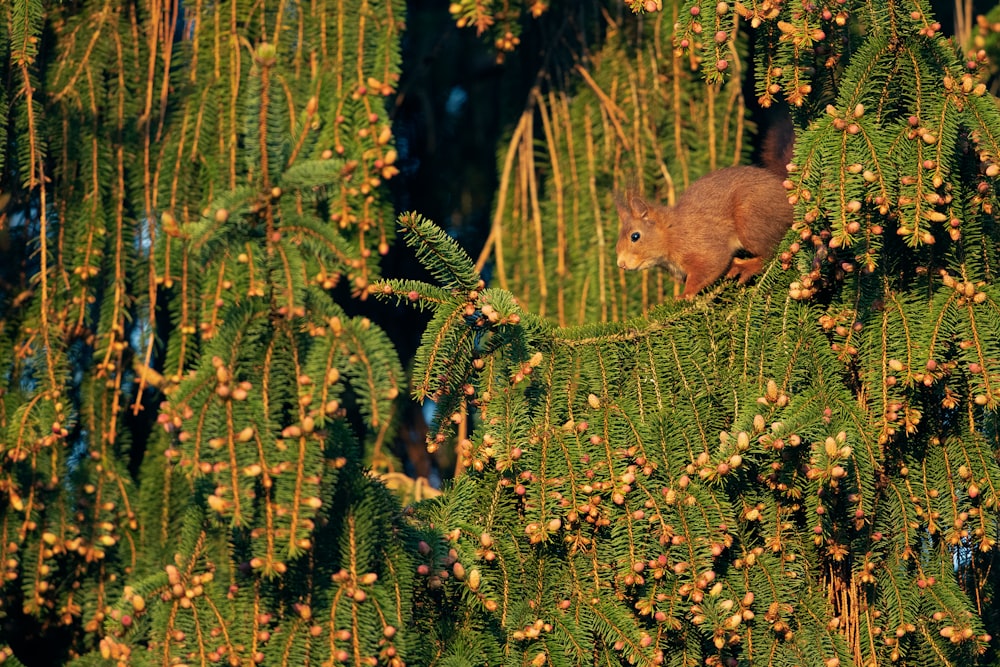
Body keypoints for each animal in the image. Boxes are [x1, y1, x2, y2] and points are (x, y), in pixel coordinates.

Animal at [612, 142, 792, 298]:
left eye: (635, 236)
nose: (620, 264)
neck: (671, 233)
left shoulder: (700, 244)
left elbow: (709, 266)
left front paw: (685, 295)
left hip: (750, 222)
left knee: (771, 251)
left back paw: (746, 266)